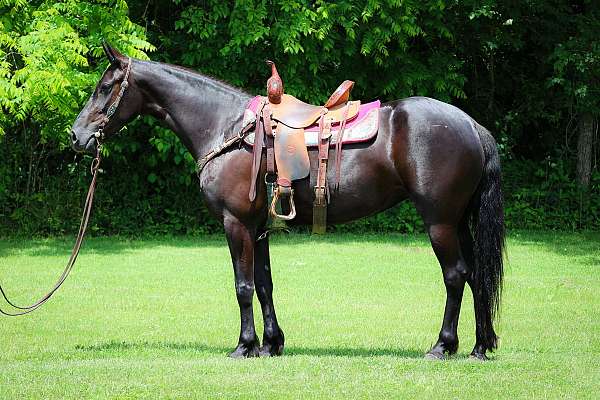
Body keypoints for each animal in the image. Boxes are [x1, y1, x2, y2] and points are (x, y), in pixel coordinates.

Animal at [71, 44, 506, 362]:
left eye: (105, 88)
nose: (77, 136)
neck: (226, 127)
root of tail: (471, 124)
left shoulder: (235, 223)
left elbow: (243, 285)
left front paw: (244, 345)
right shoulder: (258, 227)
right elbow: (264, 284)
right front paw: (270, 343)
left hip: (440, 222)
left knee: (455, 275)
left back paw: (443, 345)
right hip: (459, 222)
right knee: (476, 276)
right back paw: (479, 346)